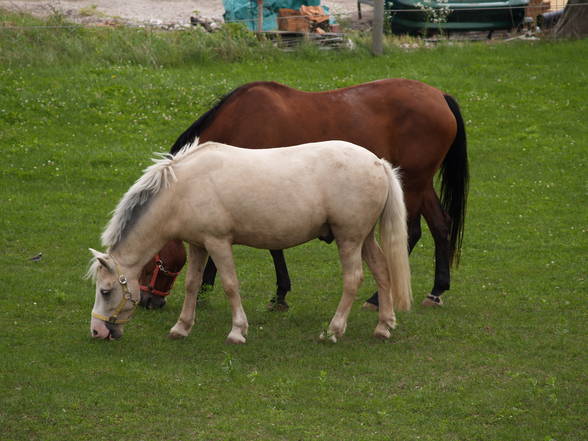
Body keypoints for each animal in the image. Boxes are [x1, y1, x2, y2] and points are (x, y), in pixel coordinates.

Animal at [88, 140, 414, 340]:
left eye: (106, 291)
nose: (97, 332)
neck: (184, 189)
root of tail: (378, 162)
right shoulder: (198, 245)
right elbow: (192, 284)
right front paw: (181, 327)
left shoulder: (218, 242)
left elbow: (230, 285)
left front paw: (237, 331)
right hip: (364, 238)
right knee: (382, 272)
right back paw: (384, 326)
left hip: (349, 239)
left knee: (353, 279)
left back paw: (333, 331)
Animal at [139, 78, 468, 310]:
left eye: (149, 261)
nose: (147, 301)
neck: (240, 121)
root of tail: (440, 95)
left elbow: (271, 246)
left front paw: (276, 293)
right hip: (420, 183)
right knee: (441, 225)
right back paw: (437, 289)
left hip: (412, 183)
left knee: (410, 234)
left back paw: (377, 297)